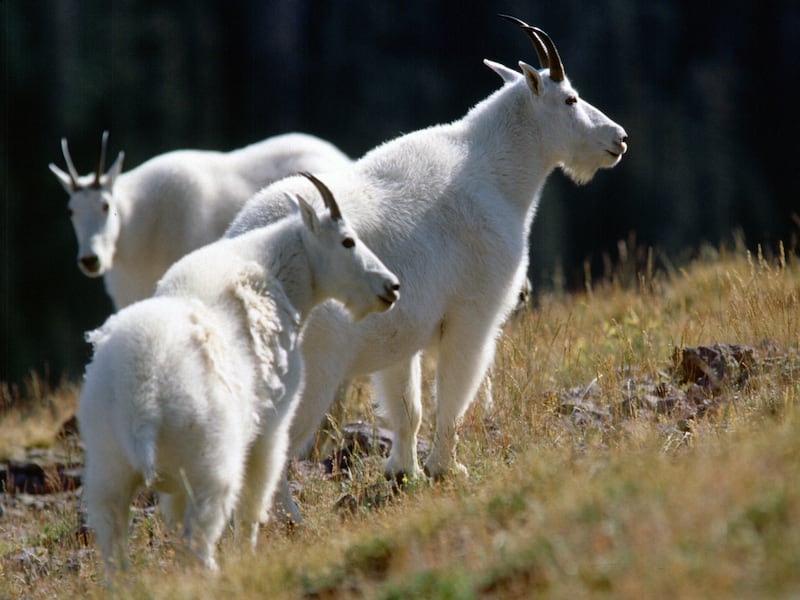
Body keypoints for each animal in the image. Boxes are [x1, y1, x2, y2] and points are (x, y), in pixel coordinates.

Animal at [77, 173, 399, 572]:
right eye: (348, 240)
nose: (391, 286)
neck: (281, 279)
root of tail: (142, 401)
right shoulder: (271, 426)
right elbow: (254, 503)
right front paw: (251, 551)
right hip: (209, 463)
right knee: (199, 535)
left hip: (108, 467)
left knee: (113, 543)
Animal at [225, 15, 628, 522]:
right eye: (571, 98)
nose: (619, 139)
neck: (498, 174)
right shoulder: (473, 316)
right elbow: (453, 395)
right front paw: (446, 468)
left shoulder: (405, 328)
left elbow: (408, 406)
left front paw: (403, 472)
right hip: (308, 370)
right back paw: (289, 518)